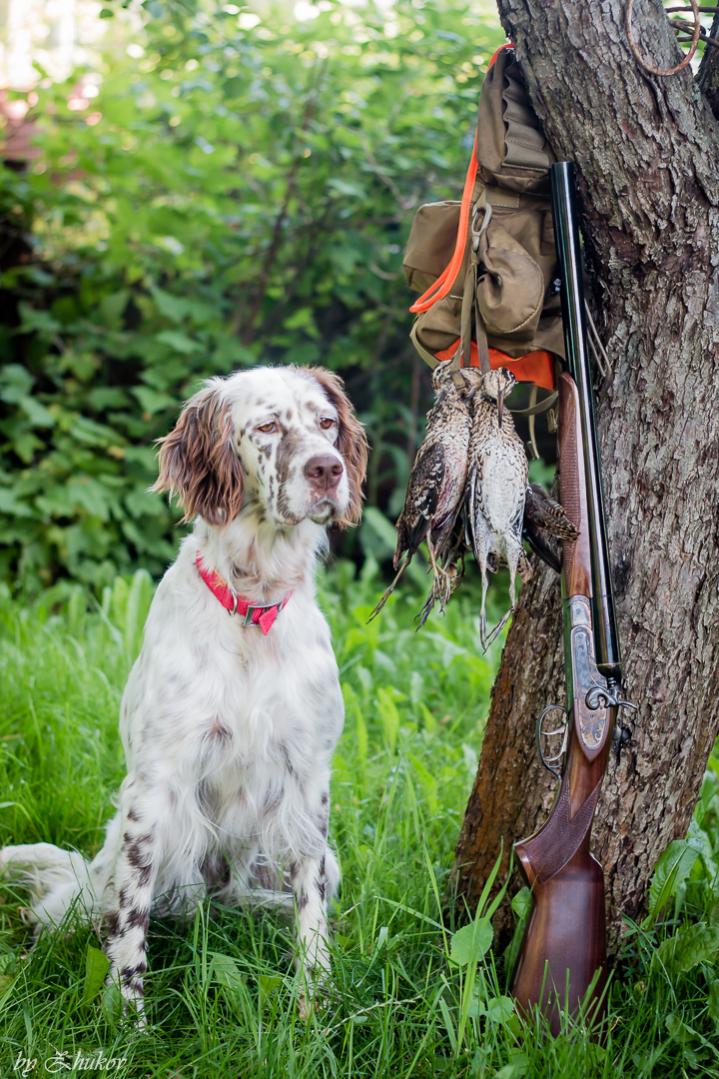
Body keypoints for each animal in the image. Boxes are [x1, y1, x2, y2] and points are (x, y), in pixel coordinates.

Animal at [1, 364, 368, 1016]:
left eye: (326, 423)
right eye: (268, 427)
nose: (328, 469)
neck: (252, 609)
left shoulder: (308, 782)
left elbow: (310, 908)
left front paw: (314, 1000)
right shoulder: (156, 786)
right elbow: (131, 922)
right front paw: (127, 1017)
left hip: (322, 861)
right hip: (105, 870)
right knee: (77, 913)